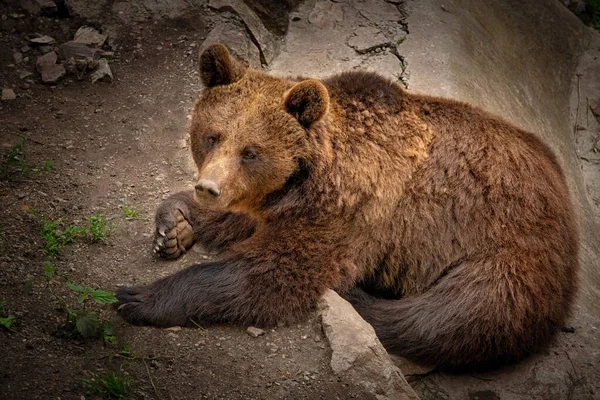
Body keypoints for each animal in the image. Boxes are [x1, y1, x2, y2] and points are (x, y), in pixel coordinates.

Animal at [115, 43, 580, 368]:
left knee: (456, 315)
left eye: (251, 151)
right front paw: (174, 226)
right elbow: (243, 224)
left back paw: (362, 297)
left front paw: (138, 297)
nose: (207, 187)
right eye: (212, 135)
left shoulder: (353, 212)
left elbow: (275, 274)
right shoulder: (283, 206)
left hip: (505, 246)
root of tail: (562, 186)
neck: (312, 177)